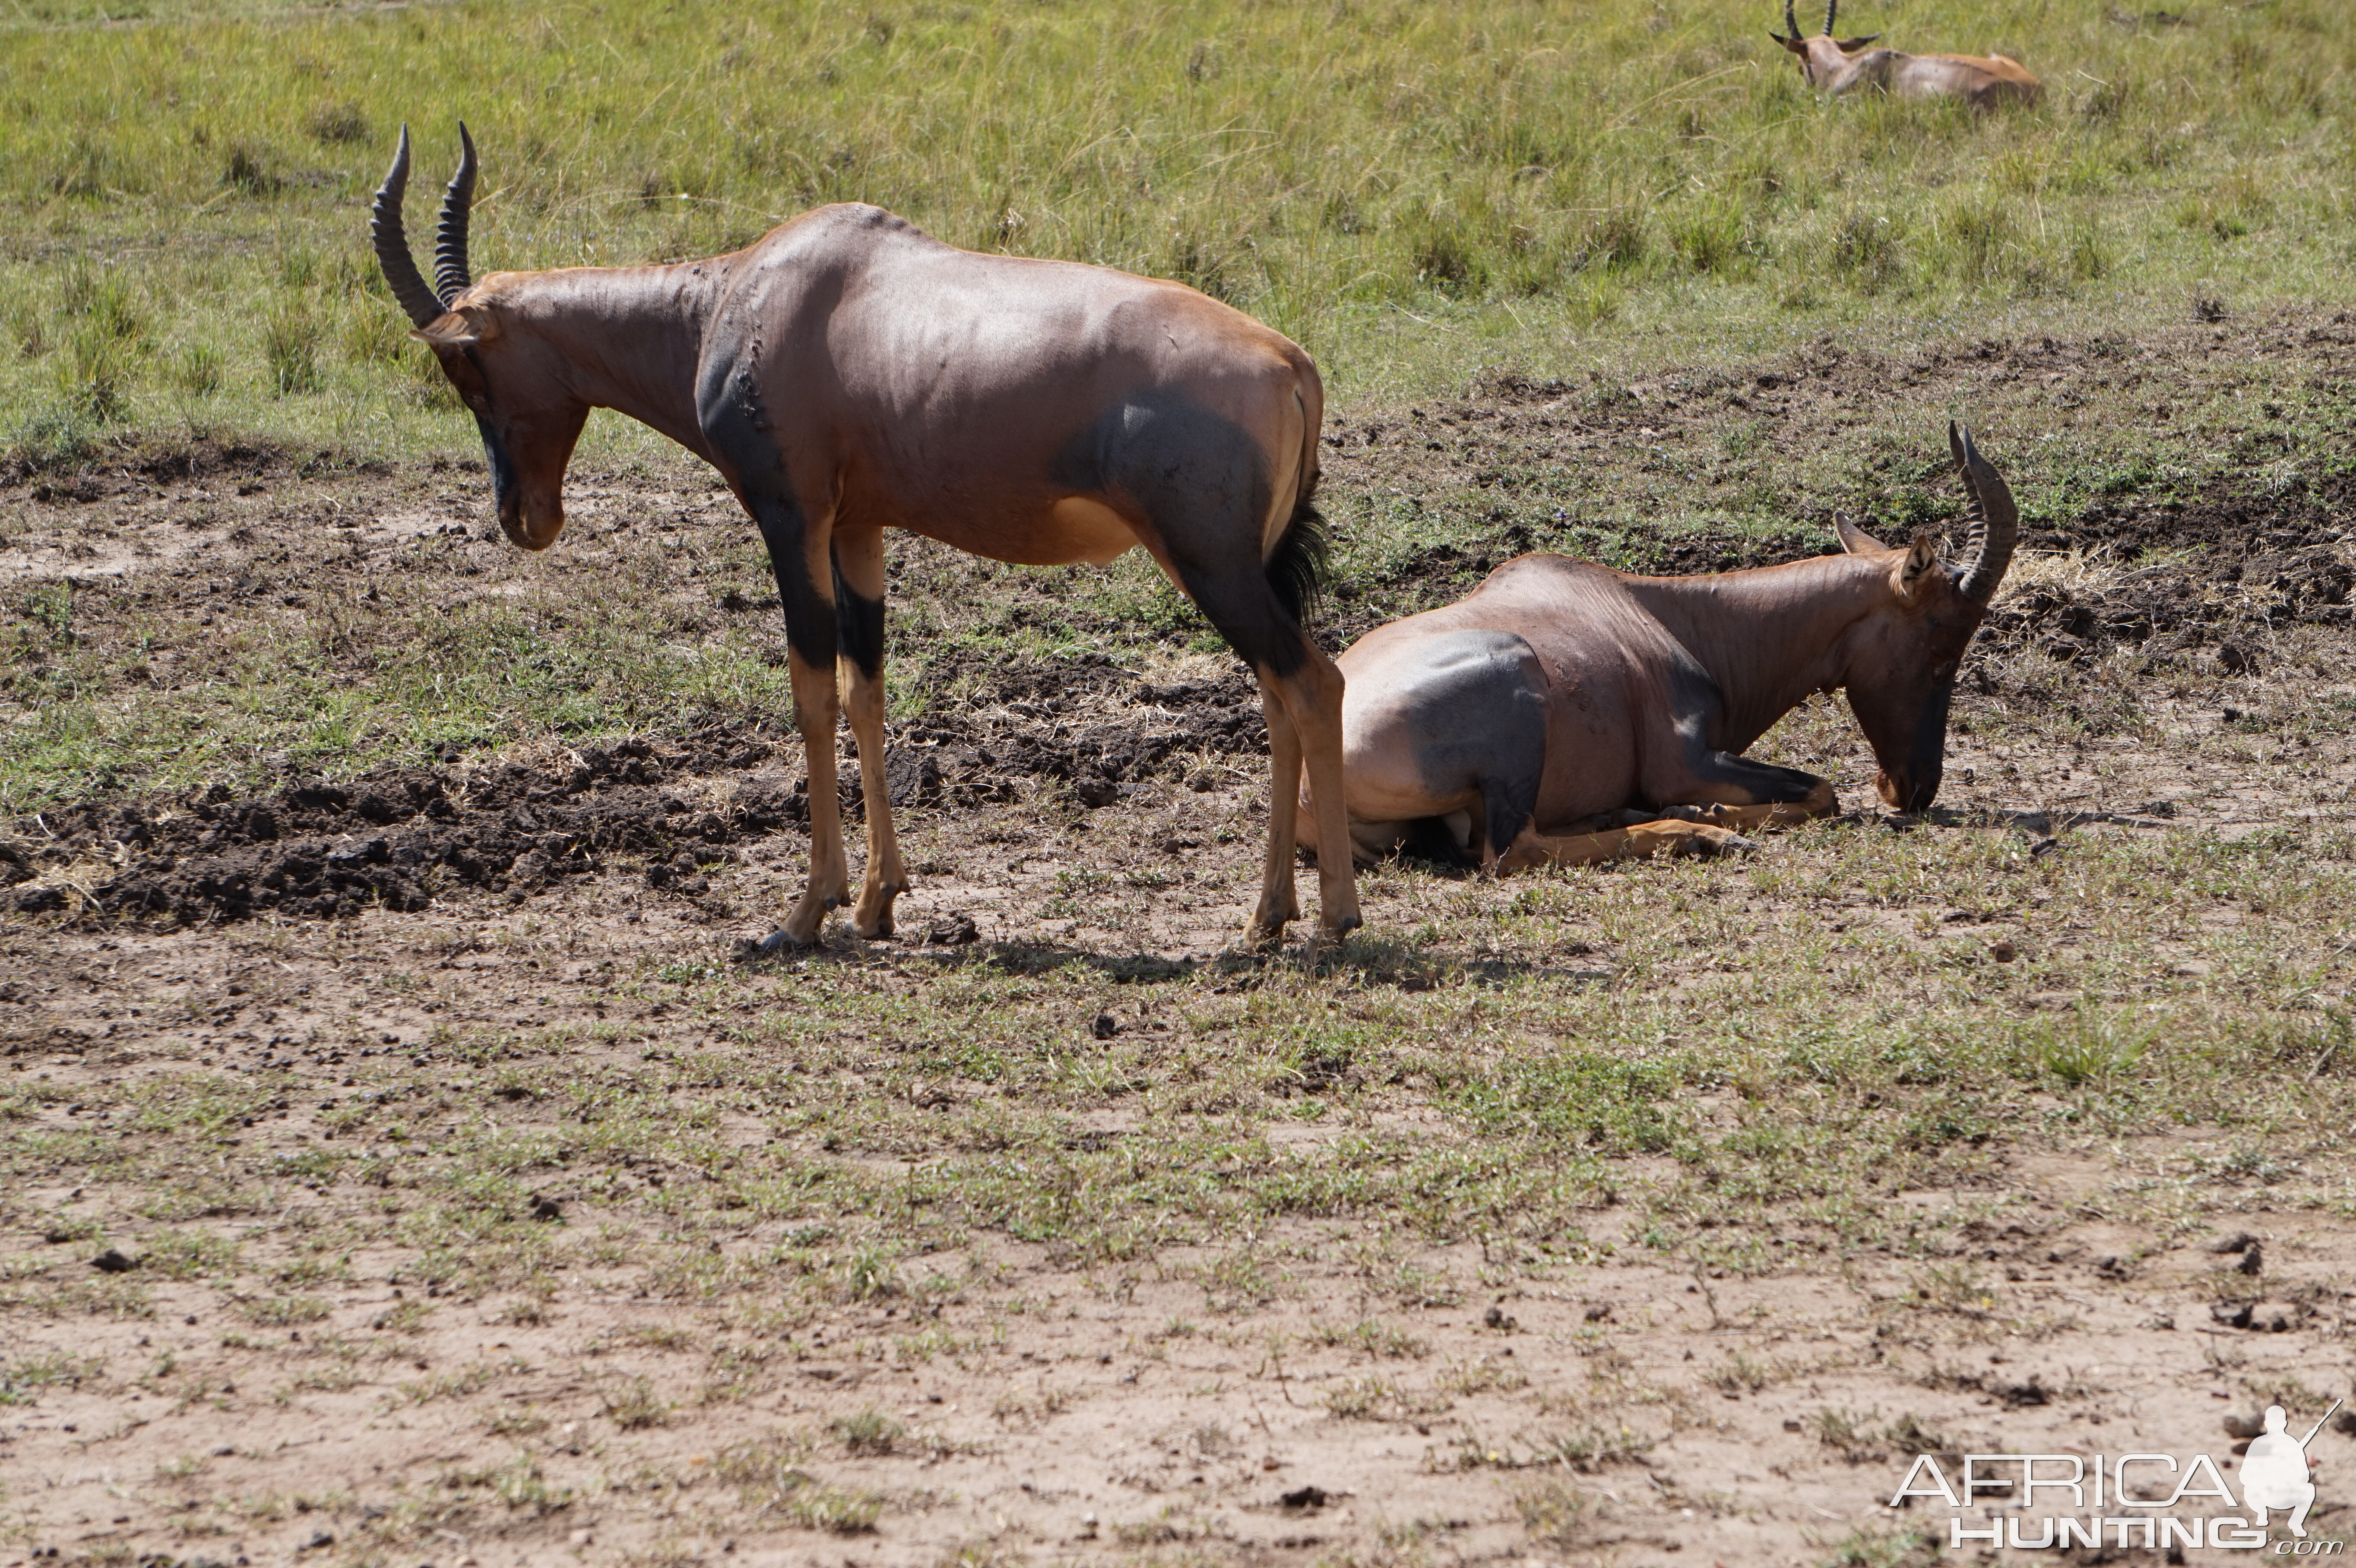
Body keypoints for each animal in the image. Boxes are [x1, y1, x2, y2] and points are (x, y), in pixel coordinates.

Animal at [370, 122, 1366, 946]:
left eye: (467, 367)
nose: (525, 519)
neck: (745, 294)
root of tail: (1291, 362)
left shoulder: (792, 518)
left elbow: (810, 692)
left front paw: (803, 915)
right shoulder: (858, 530)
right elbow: (866, 692)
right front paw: (877, 902)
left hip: (1208, 561)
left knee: (1312, 681)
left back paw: (1329, 919)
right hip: (1245, 566)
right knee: (1278, 691)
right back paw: (1269, 916)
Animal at [1300, 421, 2017, 871]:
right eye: (1941, 650)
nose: (1913, 790)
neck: (1657, 610)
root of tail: (1312, 788)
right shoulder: (1684, 760)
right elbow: (1820, 792)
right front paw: (1714, 814)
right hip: (1518, 685)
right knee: (1510, 852)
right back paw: (1699, 834)